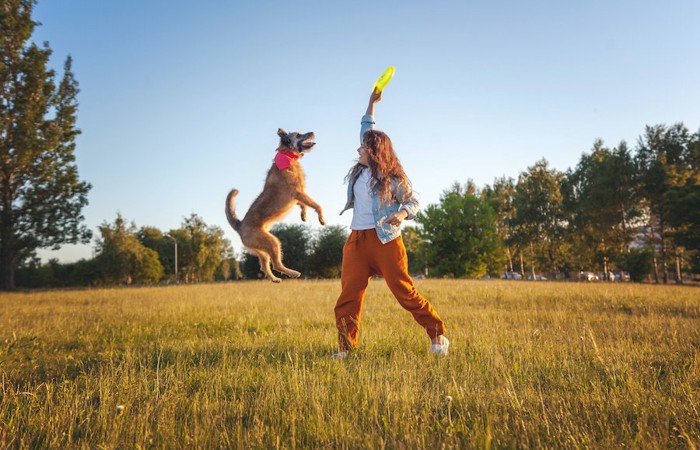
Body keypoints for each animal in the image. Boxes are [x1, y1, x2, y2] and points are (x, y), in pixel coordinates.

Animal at [226, 128, 326, 282]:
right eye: (298, 135)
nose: (312, 132)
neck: (287, 154)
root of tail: (239, 225)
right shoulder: (297, 192)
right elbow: (316, 205)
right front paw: (321, 218)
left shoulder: (297, 196)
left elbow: (303, 204)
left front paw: (303, 215)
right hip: (273, 242)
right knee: (277, 264)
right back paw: (293, 273)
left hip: (262, 250)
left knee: (265, 265)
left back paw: (274, 279)